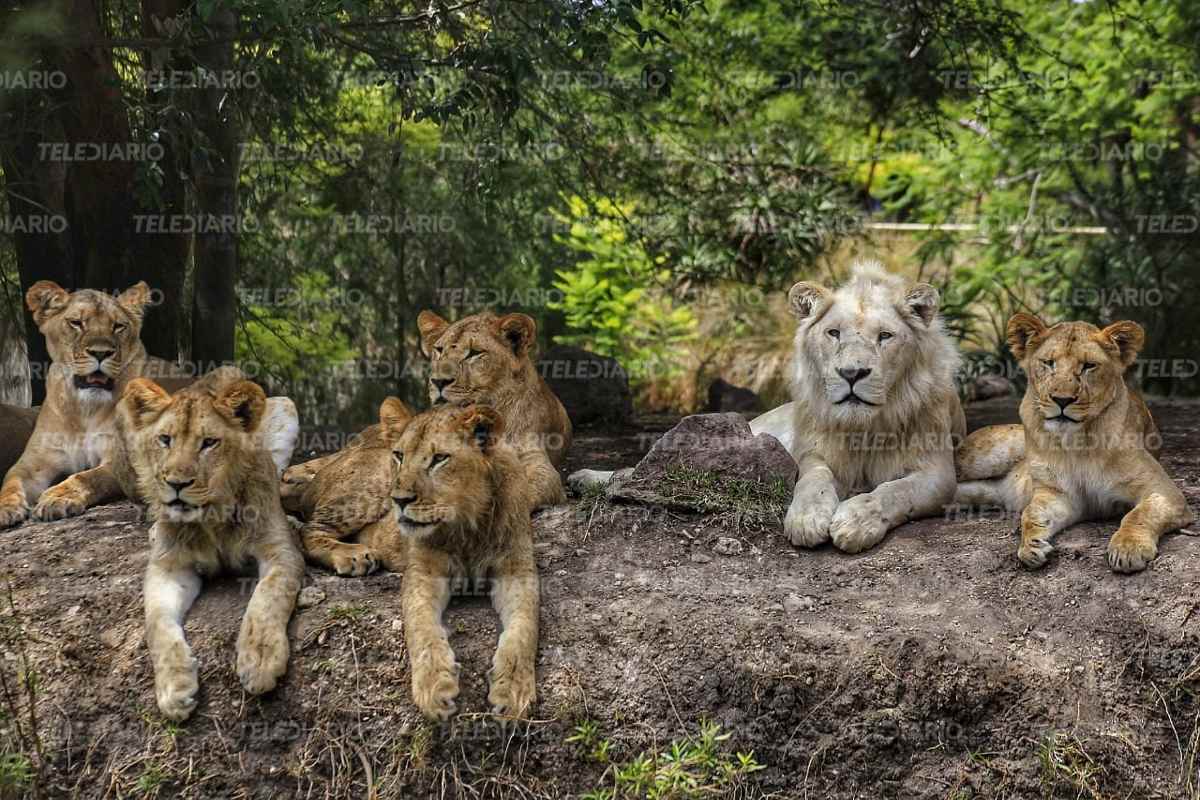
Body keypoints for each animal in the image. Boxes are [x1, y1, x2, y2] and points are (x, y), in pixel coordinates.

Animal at [0, 280, 191, 527]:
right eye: (76, 323)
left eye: (118, 326)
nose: (101, 353)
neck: (84, 410)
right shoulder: (34, 462)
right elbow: (10, 480)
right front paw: (5, 507)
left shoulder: (120, 460)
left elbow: (87, 476)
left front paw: (57, 497)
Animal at [115, 369, 305, 721]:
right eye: (165, 439)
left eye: (209, 443)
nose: (176, 484)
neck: (212, 517)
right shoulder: (168, 567)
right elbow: (156, 623)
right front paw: (174, 688)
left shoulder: (280, 551)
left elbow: (268, 597)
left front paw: (260, 659)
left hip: (286, 406)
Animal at [749, 261, 965, 553]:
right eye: (834, 333)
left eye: (885, 336)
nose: (852, 373)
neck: (863, 429)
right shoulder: (813, 452)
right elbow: (813, 480)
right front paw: (806, 517)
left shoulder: (938, 474)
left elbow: (895, 491)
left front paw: (856, 521)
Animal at [954, 314, 1193, 573]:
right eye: (1048, 363)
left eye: (1089, 366)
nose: (1062, 399)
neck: (1077, 442)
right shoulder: (1057, 493)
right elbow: (1032, 514)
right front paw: (1030, 547)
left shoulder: (1163, 490)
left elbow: (1139, 514)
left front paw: (1128, 548)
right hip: (980, 460)